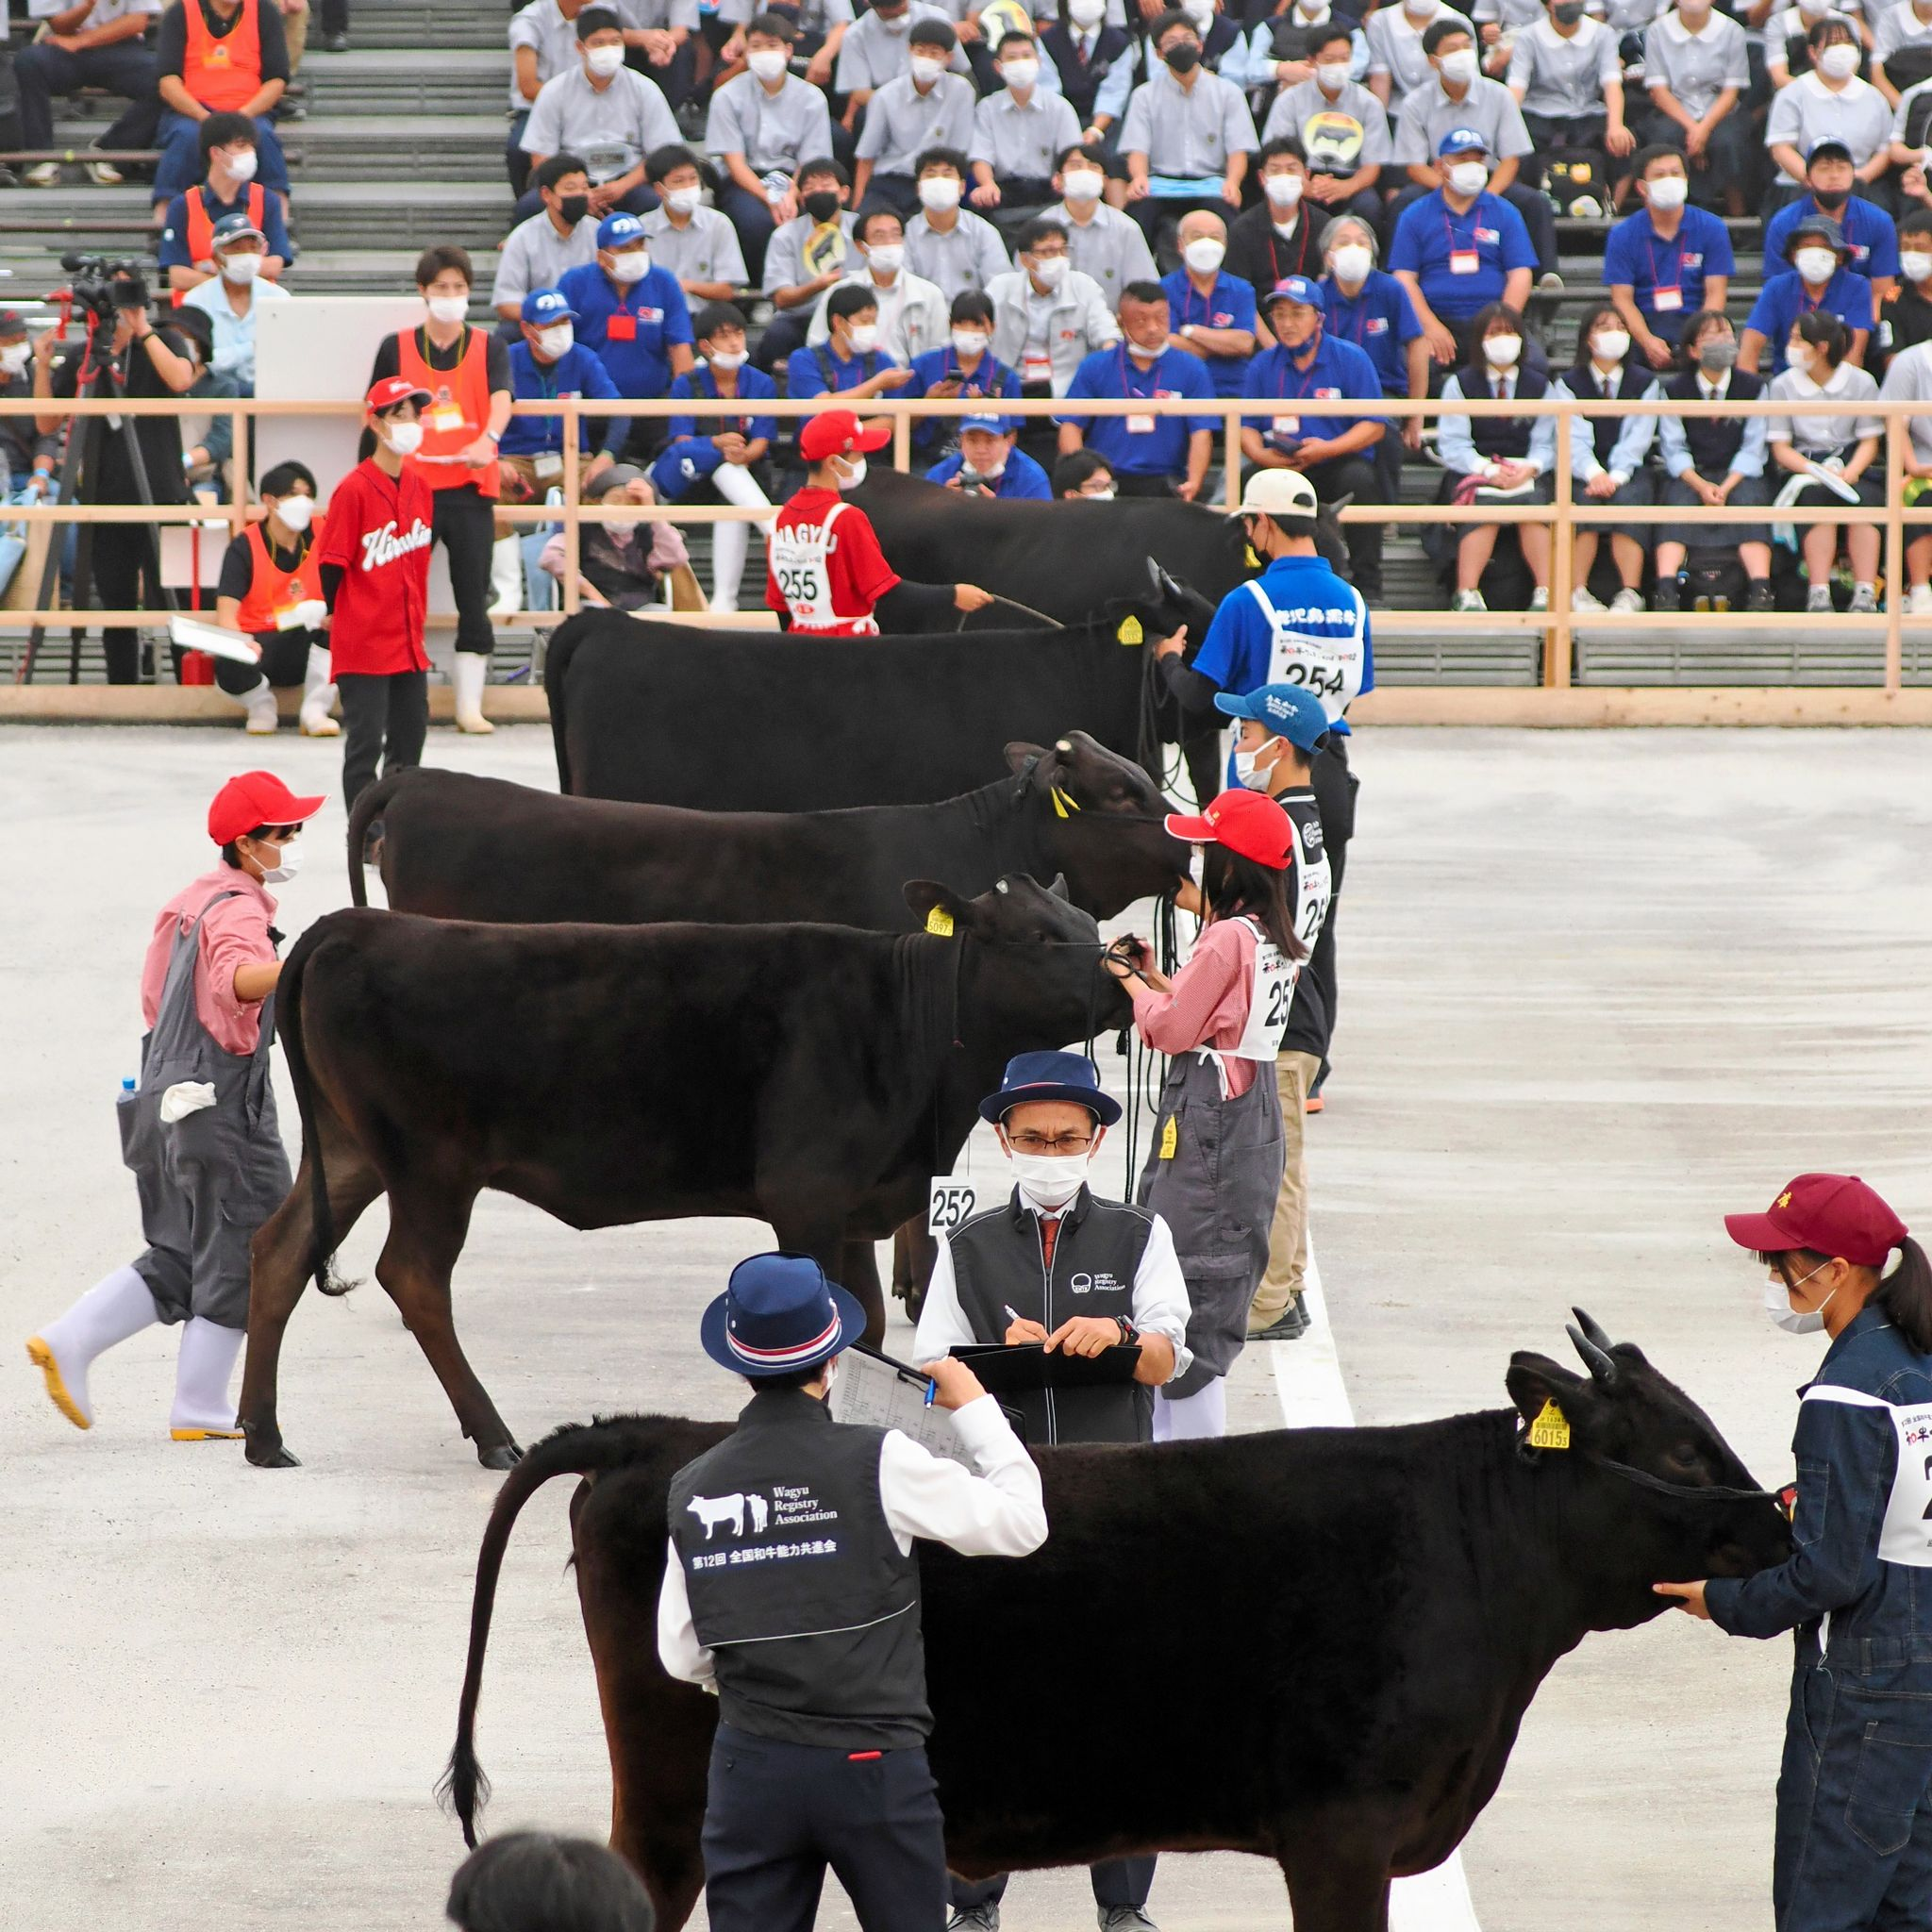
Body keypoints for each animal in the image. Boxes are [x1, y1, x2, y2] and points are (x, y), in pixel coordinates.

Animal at [242, 876, 1128, 1460]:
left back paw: (262, 1431)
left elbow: (870, 1326)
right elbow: (843, 1326)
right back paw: (495, 1436)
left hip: (352, 1151)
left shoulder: (856, 1203)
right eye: (1038, 936)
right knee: (414, 1276)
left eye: (1085, 915)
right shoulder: (805, 1194)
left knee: (278, 1250)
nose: (1125, 971)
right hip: (429, 1161)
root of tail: (354, 923)